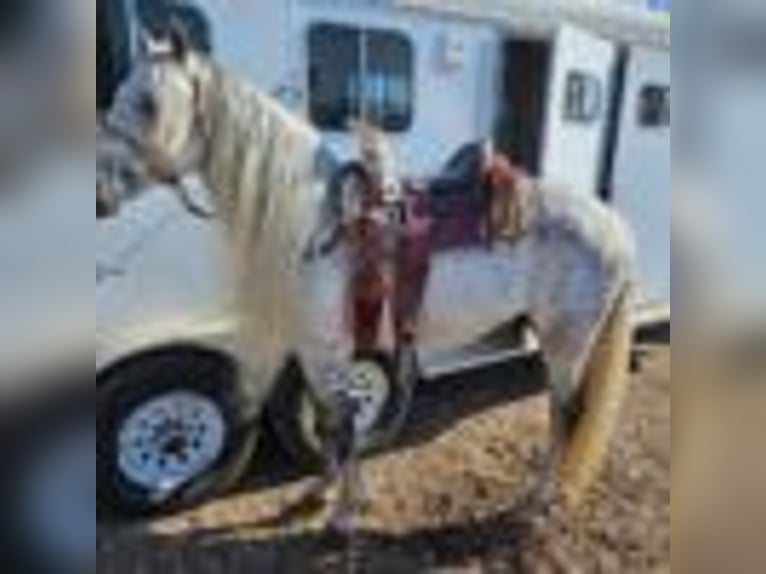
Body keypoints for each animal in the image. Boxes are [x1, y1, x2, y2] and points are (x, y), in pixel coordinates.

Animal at [97, 29, 636, 506]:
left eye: (148, 103)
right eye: (121, 93)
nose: (100, 193)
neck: (314, 223)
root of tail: (611, 222)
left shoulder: (326, 348)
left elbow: (341, 425)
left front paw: (345, 509)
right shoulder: (312, 350)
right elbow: (329, 423)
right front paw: (322, 492)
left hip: (566, 339)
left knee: (565, 411)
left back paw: (542, 495)